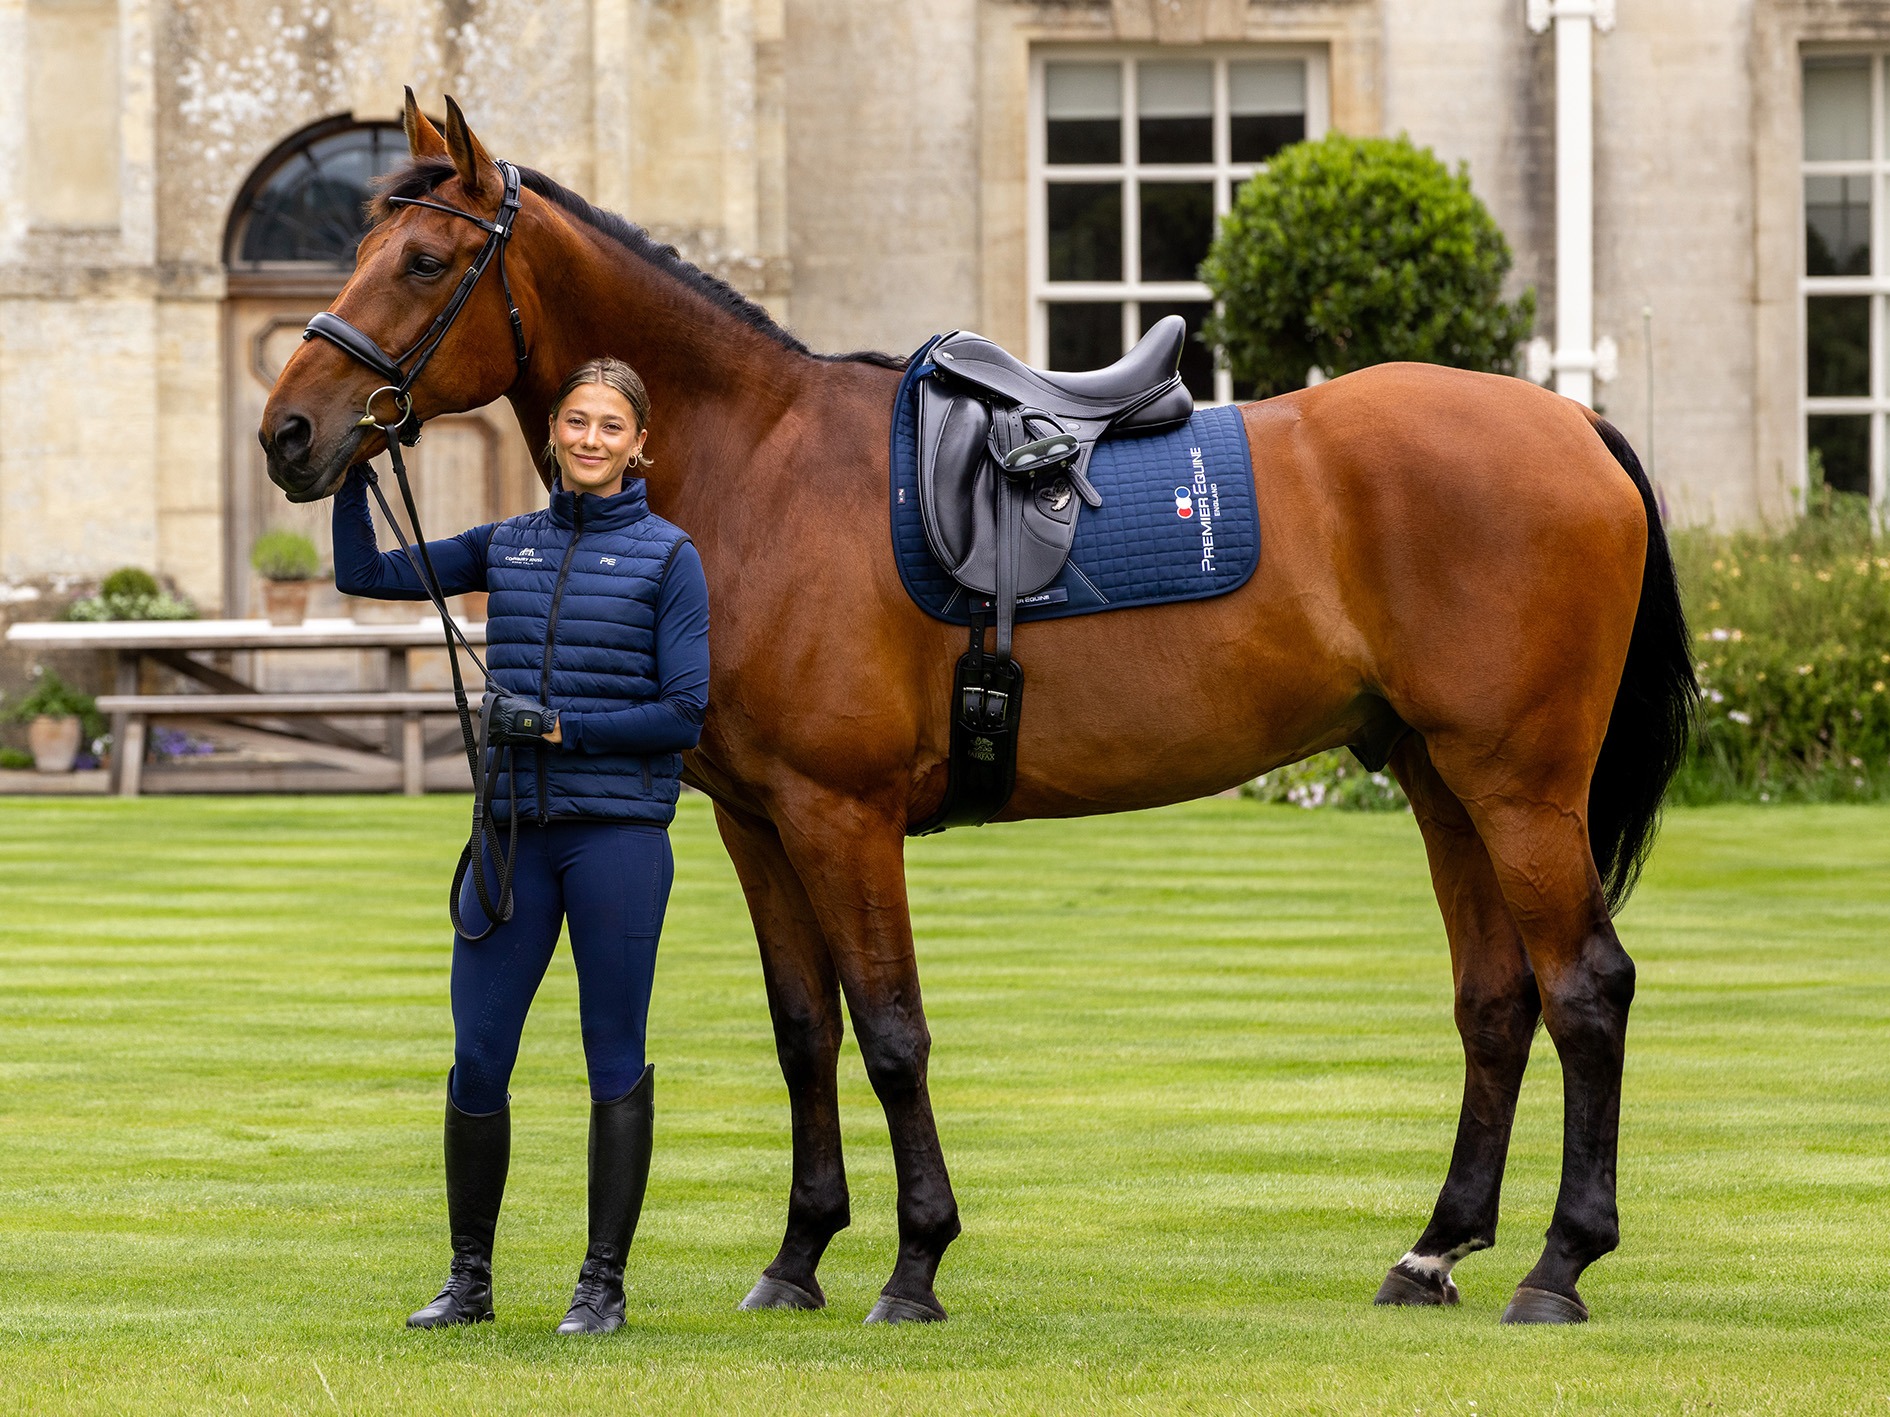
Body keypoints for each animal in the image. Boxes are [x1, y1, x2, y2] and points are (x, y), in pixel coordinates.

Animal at [259, 94, 1695, 1326]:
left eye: (427, 260)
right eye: (361, 245)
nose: (289, 432)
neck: (757, 463)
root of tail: (1575, 427)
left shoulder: (842, 816)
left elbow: (890, 1031)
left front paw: (914, 1260)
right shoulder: (758, 826)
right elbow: (805, 1033)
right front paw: (798, 1254)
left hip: (1519, 786)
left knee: (1586, 986)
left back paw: (1560, 1263)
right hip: (1444, 782)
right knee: (1496, 1000)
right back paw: (1435, 1247)